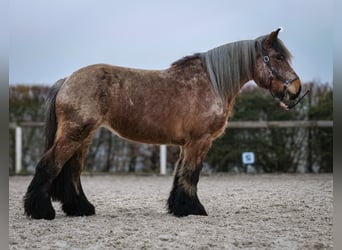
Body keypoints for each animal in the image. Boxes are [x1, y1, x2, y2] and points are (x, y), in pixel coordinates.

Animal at [24, 28, 302, 219]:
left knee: (72, 171)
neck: (211, 82)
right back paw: (41, 211)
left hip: (85, 136)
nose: (296, 90)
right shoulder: (200, 141)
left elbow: (180, 175)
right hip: (75, 133)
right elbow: (191, 174)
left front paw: (179, 207)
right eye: (277, 56)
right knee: (50, 164)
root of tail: (67, 80)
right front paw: (194, 209)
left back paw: (80, 208)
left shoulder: (186, 144)